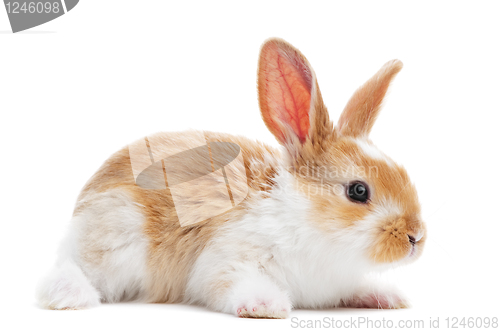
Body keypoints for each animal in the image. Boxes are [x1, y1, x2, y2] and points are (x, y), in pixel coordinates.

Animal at [36, 37, 426, 318]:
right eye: (358, 191)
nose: (416, 237)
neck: (302, 217)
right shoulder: (225, 262)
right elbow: (229, 283)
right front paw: (267, 306)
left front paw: (388, 297)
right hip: (114, 239)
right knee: (70, 270)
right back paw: (70, 297)